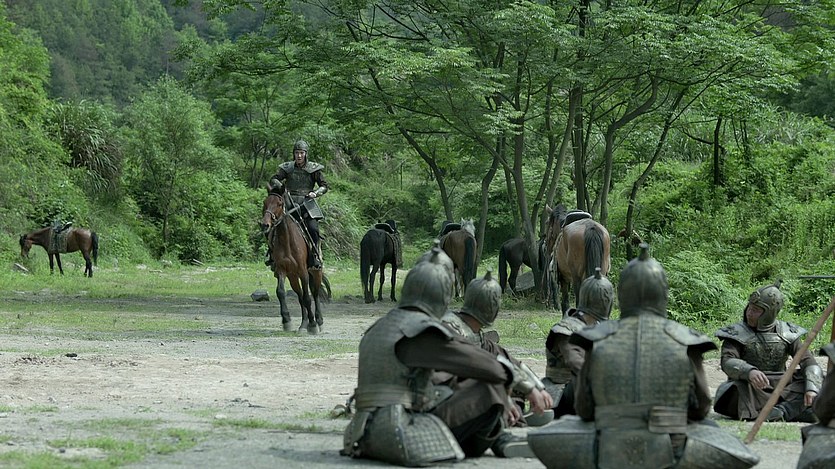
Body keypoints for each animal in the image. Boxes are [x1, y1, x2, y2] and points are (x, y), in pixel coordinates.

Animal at [261, 183, 323, 334]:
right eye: (265, 202)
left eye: (279, 203)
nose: (264, 224)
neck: (287, 240)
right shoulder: (282, 270)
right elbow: (281, 292)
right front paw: (286, 320)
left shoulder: (303, 272)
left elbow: (308, 298)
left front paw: (313, 325)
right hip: (293, 276)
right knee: (300, 296)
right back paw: (303, 324)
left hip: (315, 272)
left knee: (315, 294)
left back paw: (319, 321)